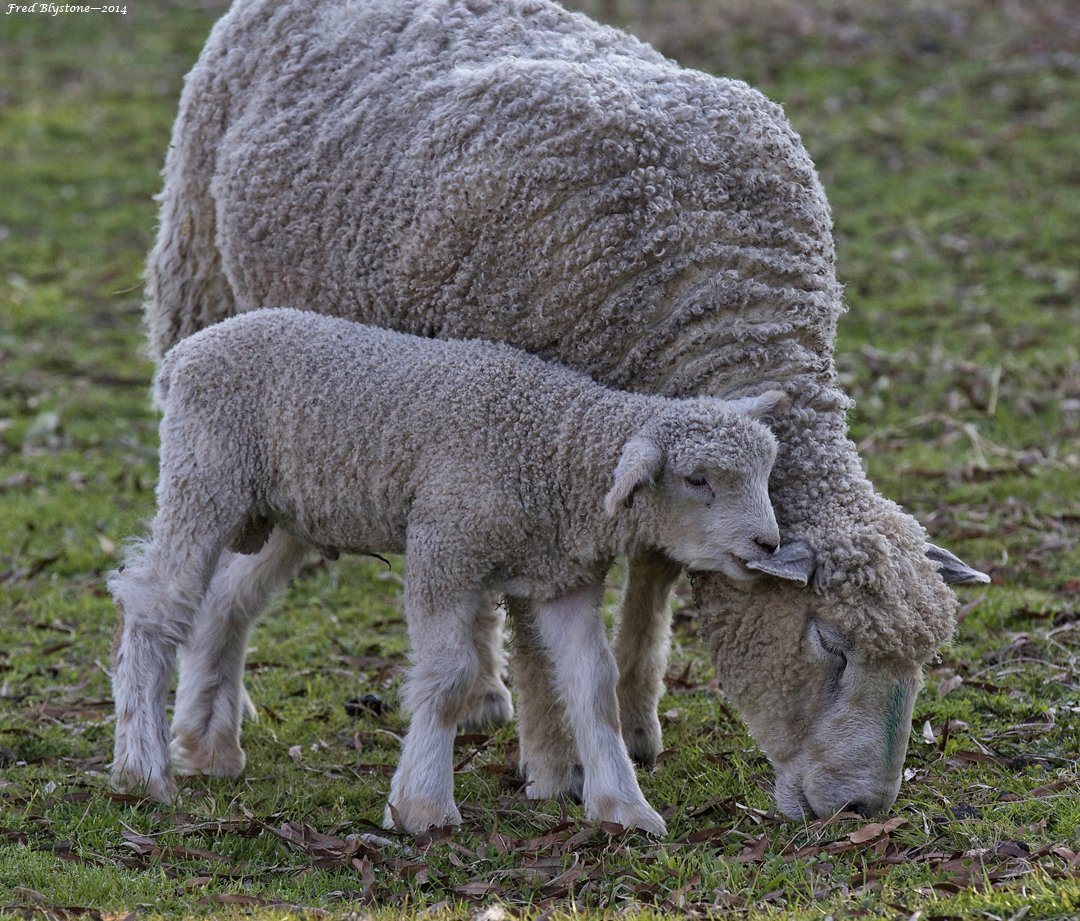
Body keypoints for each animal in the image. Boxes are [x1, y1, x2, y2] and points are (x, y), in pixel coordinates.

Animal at [109, 307, 796, 834]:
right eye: (698, 479)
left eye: (765, 470)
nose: (767, 541)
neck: (553, 453)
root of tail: (190, 350)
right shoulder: (445, 544)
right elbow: (449, 675)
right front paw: (422, 805)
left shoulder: (564, 577)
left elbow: (595, 686)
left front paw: (623, 807)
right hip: (206, 474)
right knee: (156, 603)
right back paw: (143, 770)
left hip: (283, 516)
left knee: (224, 604)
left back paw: (209, 747)